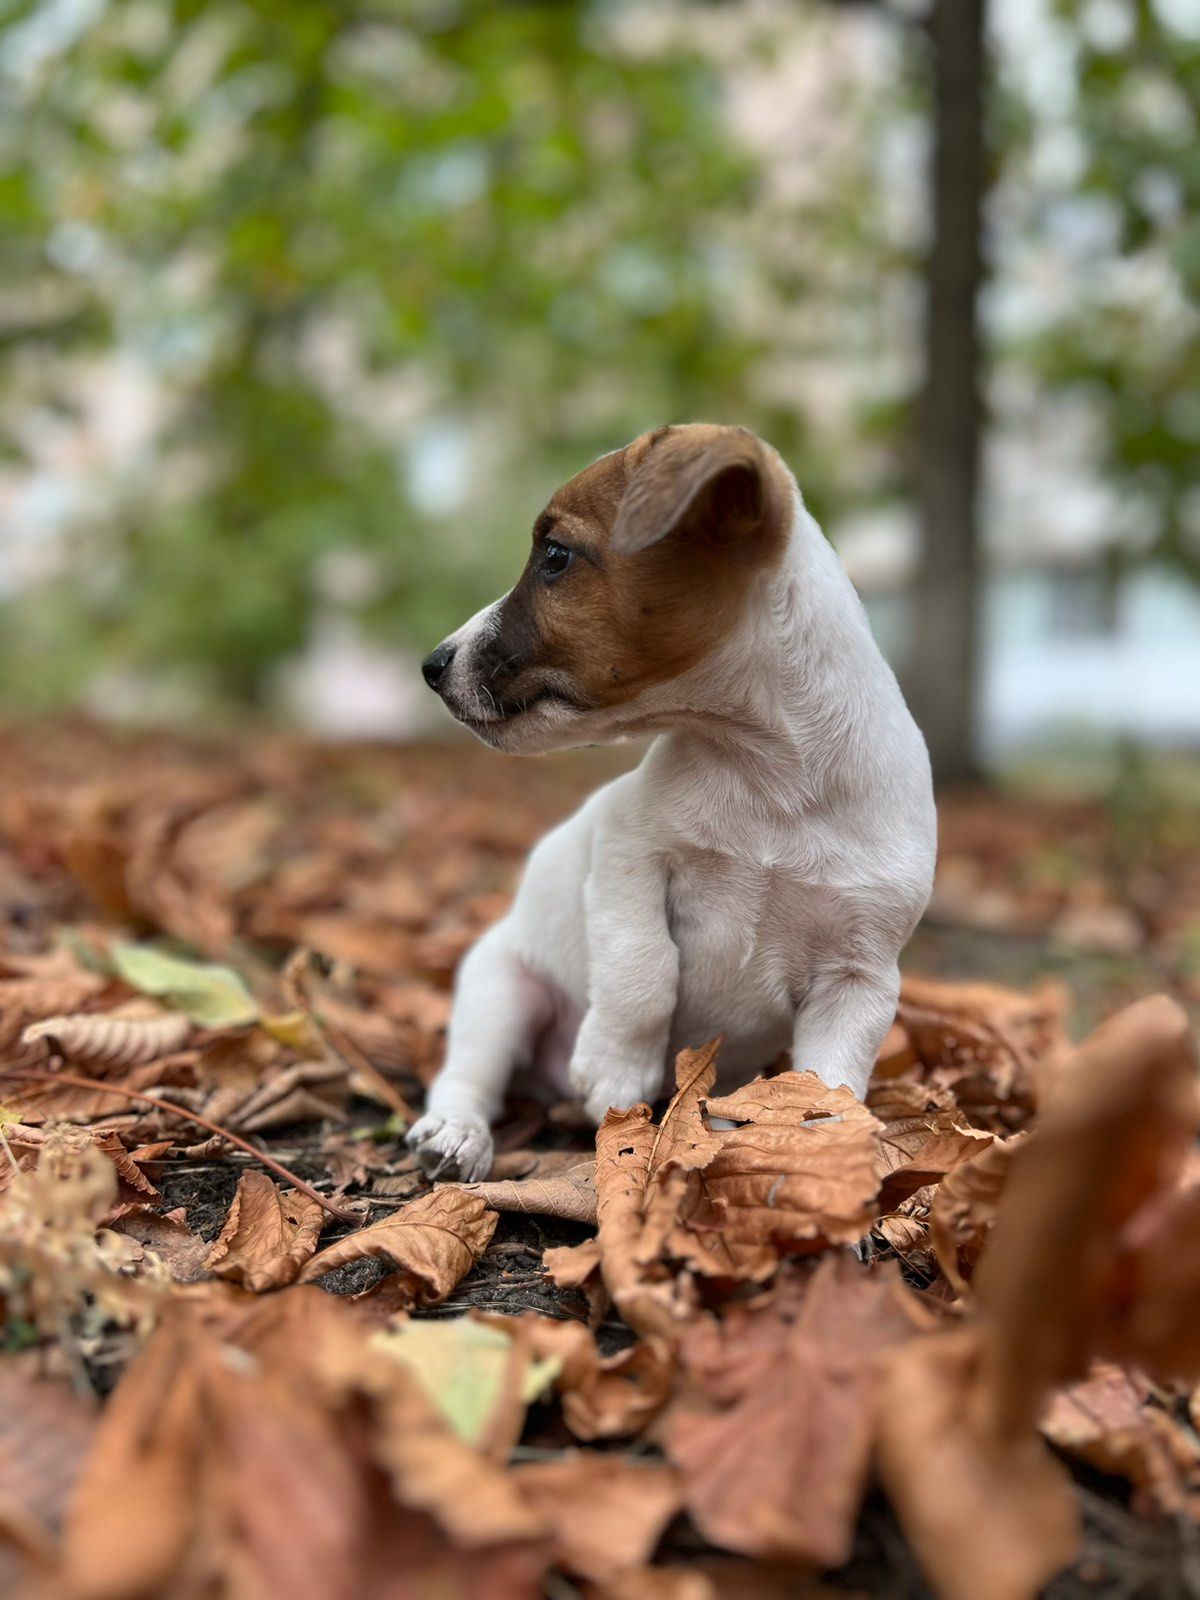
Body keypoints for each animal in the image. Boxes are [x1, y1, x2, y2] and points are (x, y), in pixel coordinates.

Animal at [409, 419, 947, 1184]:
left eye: (555, 556)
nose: (433, 665)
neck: (772, 778)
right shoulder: (627, 857)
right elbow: (644, 968)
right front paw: (615, 1065)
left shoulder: (859, 980)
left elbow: (828, 1089)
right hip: (500, 990)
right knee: (468, 1079)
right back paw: (456, 1134)